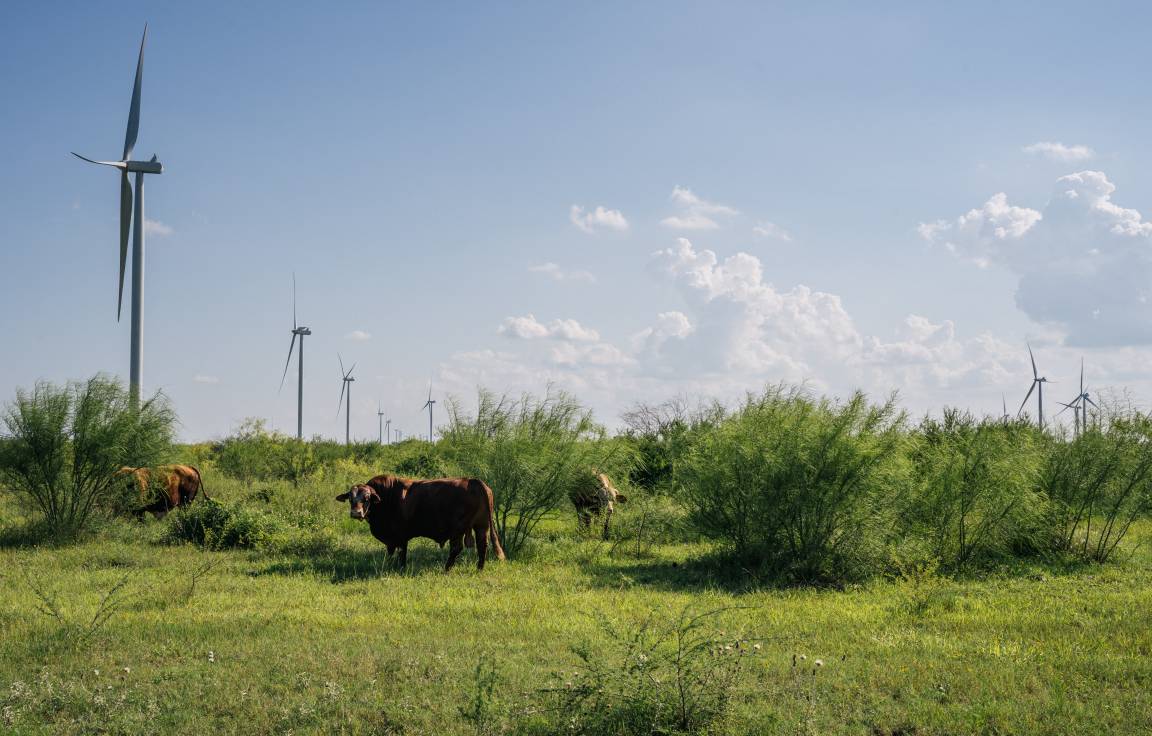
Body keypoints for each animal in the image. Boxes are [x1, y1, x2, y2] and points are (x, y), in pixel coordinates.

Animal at [336, 474, 509, 573]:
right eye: (350, 498)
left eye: (366, 498)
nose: (356, 513)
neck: (387, 497)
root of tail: (474, 481)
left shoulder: (400, 536)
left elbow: (401, 552)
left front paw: (401, 568)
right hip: (481, 526)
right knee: (482, 545)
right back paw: (479, 568)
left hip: (458, 529)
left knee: (456, 548)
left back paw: (446, 569)